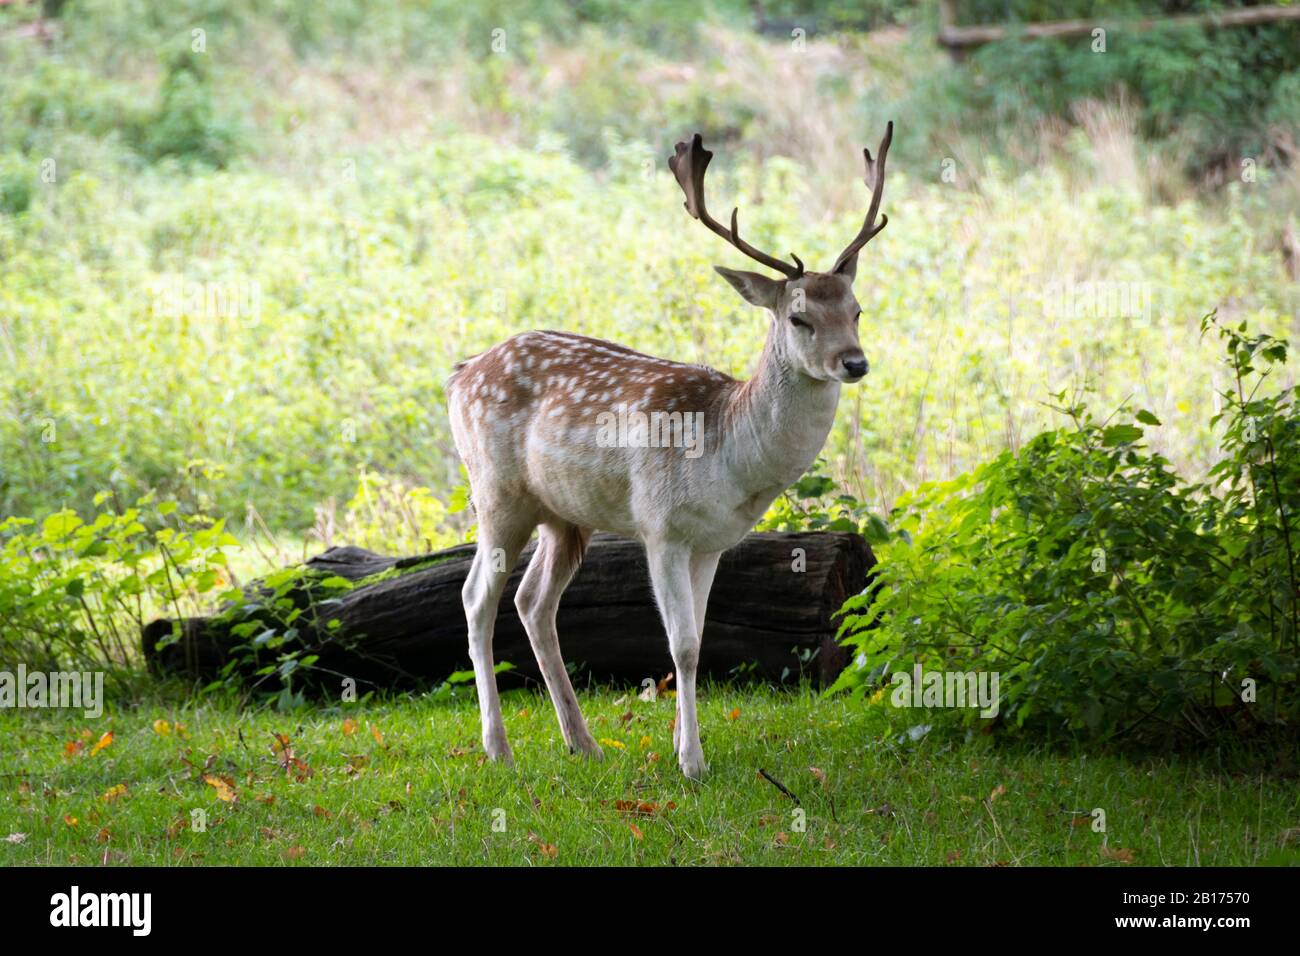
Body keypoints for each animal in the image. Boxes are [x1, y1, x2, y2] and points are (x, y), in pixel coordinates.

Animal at [449, 121, 894, 780]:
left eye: (858, 310)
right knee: (477, 598)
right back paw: (497, 748)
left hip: (564, 516)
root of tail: (458, 375)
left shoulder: (713, 542)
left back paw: (582, 742)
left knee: (533, 602)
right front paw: (691, 762)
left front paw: (684, 743)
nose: (854, 362)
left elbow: (700, 641)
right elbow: (680, 644)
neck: (729, 461)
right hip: (497, 494)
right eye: (799, 318)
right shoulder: (660, 526)